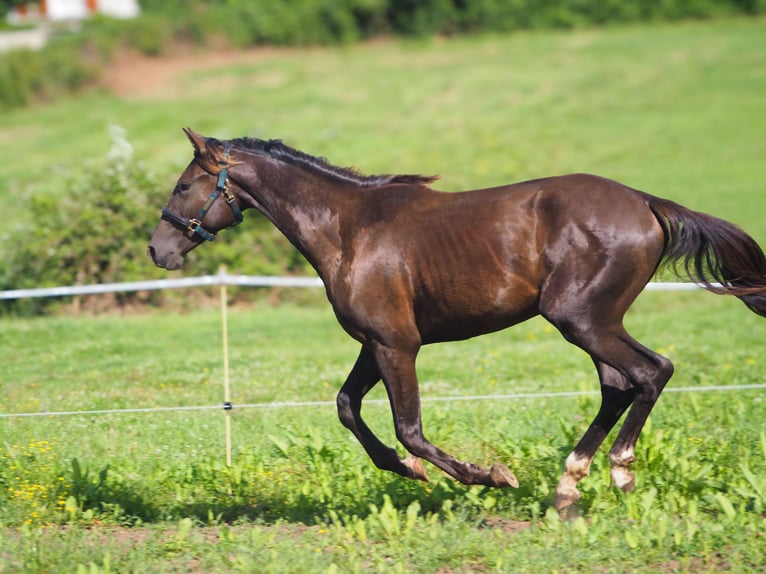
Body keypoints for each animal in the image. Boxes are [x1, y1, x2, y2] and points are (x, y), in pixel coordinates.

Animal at [148, 128, 766, 510]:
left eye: (183, 185)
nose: (158, 250)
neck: (349, 230)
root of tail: (645, 202)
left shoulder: (396, 345)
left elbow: (410, 429)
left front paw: (488, 475)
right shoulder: (375, 343)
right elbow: (347, 407)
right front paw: (404, 470)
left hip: (581, 319)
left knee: (651, 371)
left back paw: (618, 471)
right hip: (593, 323)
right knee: (619, 384)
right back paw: (569, 486)